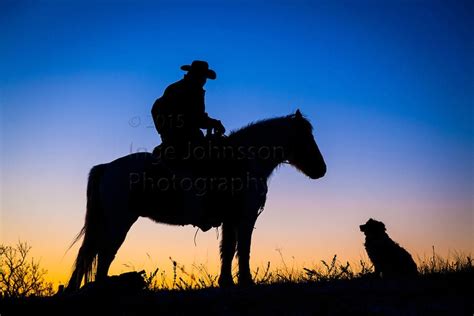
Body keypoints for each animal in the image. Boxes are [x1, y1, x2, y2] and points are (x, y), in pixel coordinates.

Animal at [66, 110, 326, 290]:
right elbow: (243, 249)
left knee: (91, 253)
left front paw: (226, 282)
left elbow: (228, 249)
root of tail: (107, 167)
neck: (245, 160)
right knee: (104, 254)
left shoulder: (230, 220)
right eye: (307, 138)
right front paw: (246, 282)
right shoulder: (245, 217)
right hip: (119, 222)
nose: (321, 170)